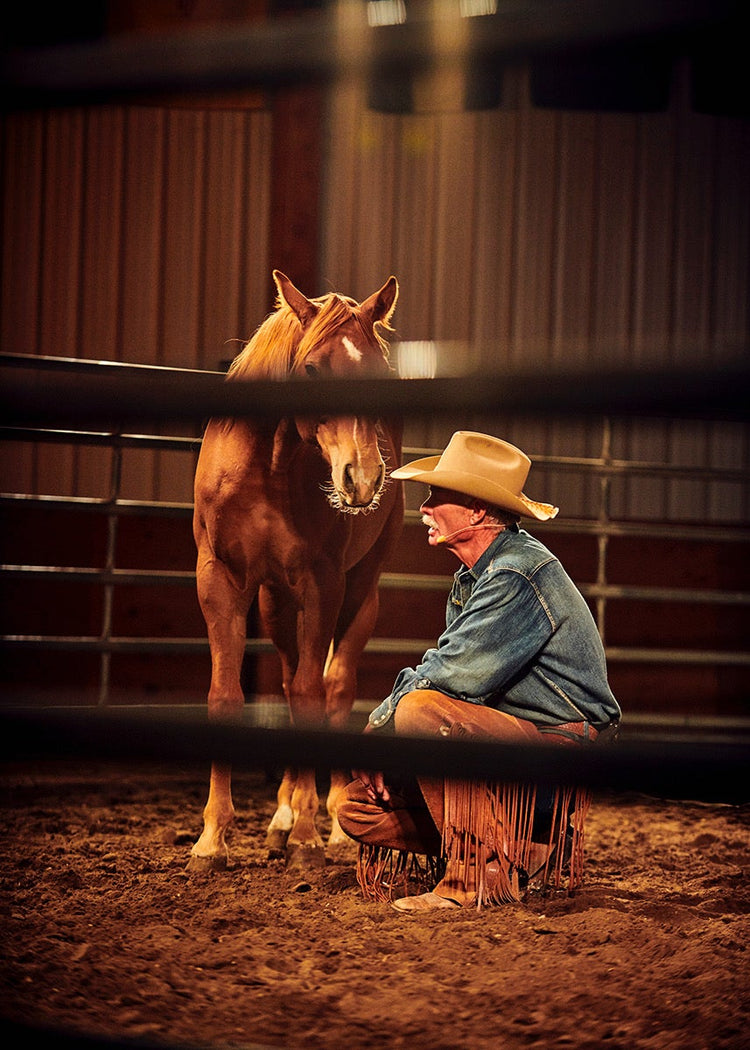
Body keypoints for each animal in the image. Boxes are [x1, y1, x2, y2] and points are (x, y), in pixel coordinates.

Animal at [190, 268, 403, 869]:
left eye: (379, 373)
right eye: (311, 368)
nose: (362, 478)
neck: (265, 469)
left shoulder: (321, 584)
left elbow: (312, 695)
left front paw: (310, 833)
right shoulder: (222, 581)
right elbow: (226, 697)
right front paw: (212, 840)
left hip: (360, 591)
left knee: (334, 687)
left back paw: (328, 825)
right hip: (275, 602)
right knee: (287, 682)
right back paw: (280, 819)